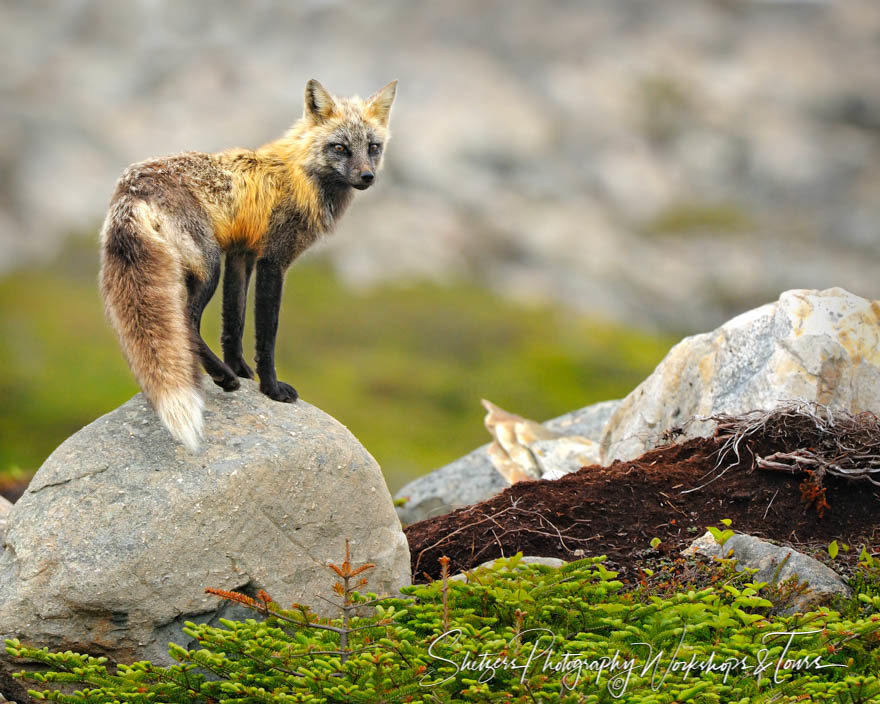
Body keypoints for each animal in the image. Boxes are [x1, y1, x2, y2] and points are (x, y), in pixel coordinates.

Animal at [98, 78, 398, 452]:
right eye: (340, 148)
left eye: (372, 147)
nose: (367, 176)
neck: (299, 176)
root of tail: (131, 187)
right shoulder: (273, 261)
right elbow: (267, 335)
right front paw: (271, 388)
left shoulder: (241, 255)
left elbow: (234, 323)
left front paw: (240, 367)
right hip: (207, 267)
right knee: (186, 322)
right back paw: (222, 378)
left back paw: (225, 375)